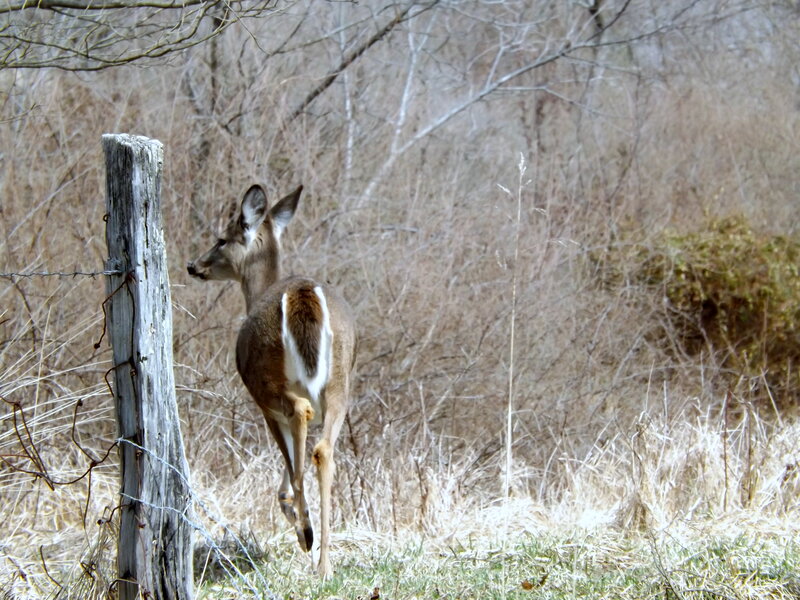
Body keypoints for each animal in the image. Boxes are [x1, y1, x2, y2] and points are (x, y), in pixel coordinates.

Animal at [187, 184, 356, 578]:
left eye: (222, 239)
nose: (193, 266)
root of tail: (302, 294)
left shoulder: (262, 404)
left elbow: (288, 458)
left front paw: (294, 516)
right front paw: (291, 508)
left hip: (267, 383)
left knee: (301, 414)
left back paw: (307, 535)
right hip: (340, 384)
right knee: (323, 449)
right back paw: (324, 563)